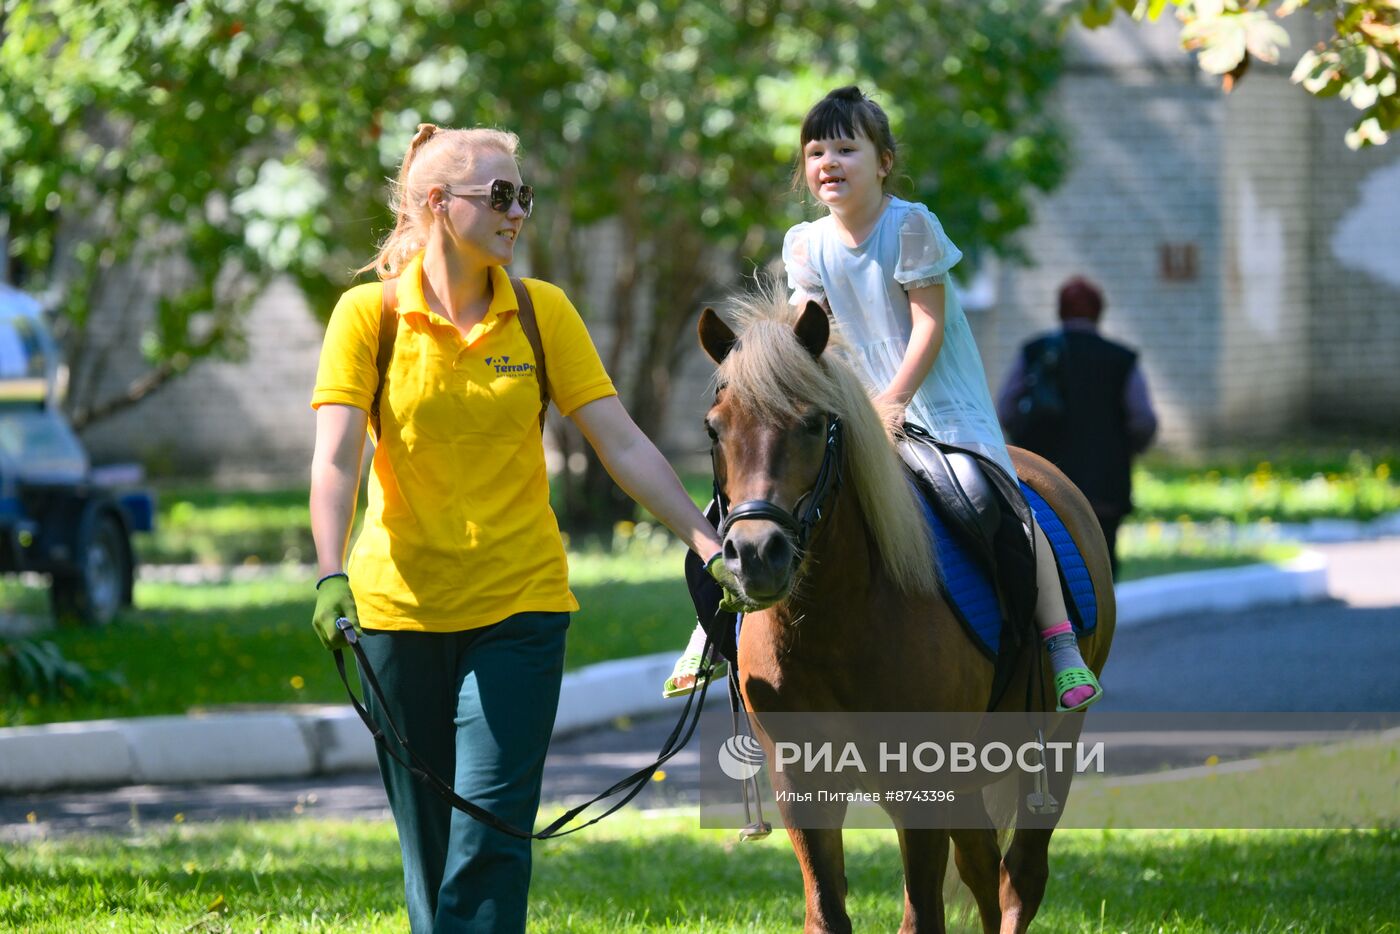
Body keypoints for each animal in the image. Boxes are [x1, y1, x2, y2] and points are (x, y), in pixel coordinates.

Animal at [700, 294, 1114, 934]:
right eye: (714, 428)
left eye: (813, 423)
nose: (755, 554)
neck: (836, 620)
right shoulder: (801, 784)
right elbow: (828, 913)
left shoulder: (919, 785)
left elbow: (923, 915)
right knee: (983, 866)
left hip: (1057, 743)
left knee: (1020, 877)